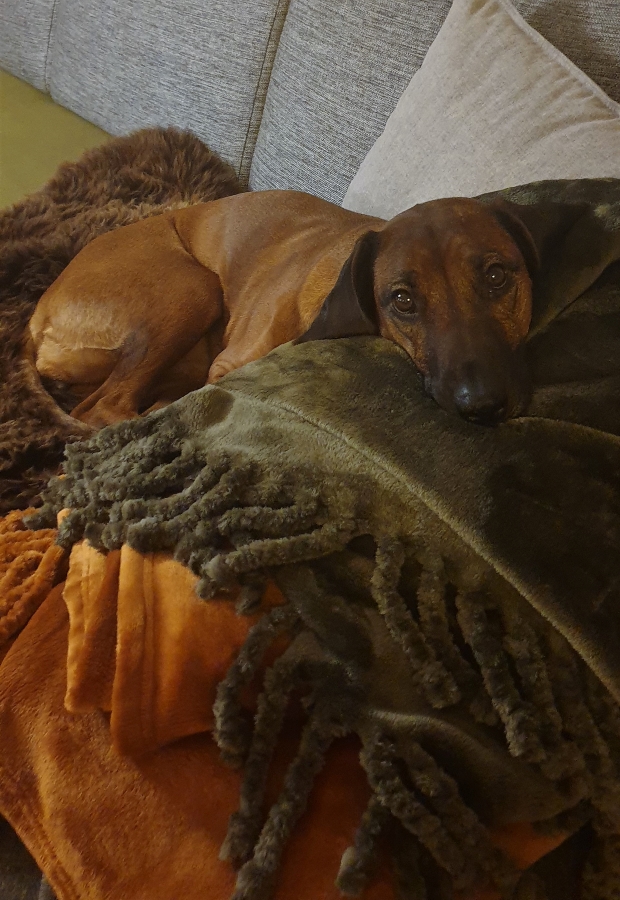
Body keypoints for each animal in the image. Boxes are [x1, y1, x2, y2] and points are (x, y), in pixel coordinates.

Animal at [25, 190, 538, 429]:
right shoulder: (226, 364)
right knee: (106, 408)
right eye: (403, 300)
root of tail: (37, 318)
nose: (482, 404)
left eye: (496, 276)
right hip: (193, 289)